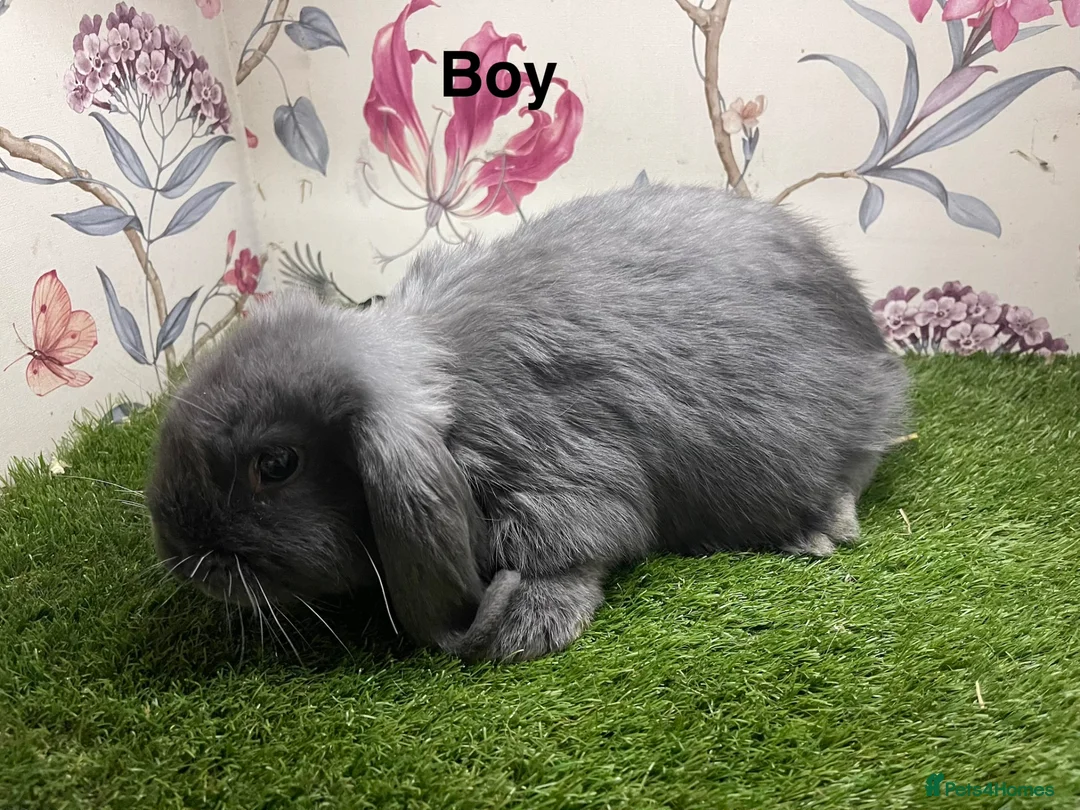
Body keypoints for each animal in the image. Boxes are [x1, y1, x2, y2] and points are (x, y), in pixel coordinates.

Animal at [146, 180, 910, 663]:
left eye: (275, 466)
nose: (180, 554)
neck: (449, 411)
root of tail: (872, 341)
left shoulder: (554, 477)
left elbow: (577, 550)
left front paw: (526, 631)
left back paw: (821, 529)